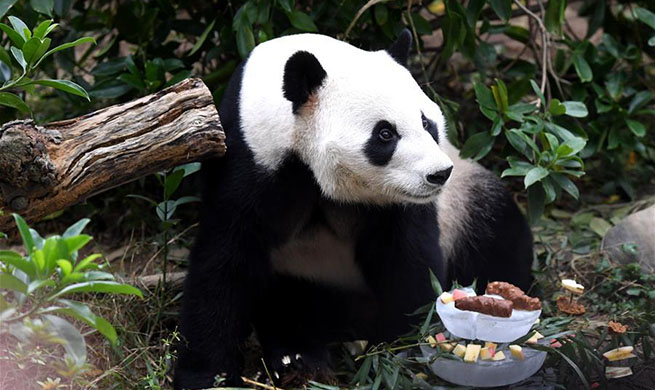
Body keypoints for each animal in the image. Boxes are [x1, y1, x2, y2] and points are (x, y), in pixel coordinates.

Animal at [174, 31, 532, 390]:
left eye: (426, 122)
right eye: (385, 133)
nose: (438, 174)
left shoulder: (399, 204)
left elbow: (408, 263)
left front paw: (393, 354)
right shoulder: (247, 161)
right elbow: (224, 264)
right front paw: (207, 375)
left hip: (463, 201)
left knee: (494, 230)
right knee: (291, 302)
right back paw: (299, 357)